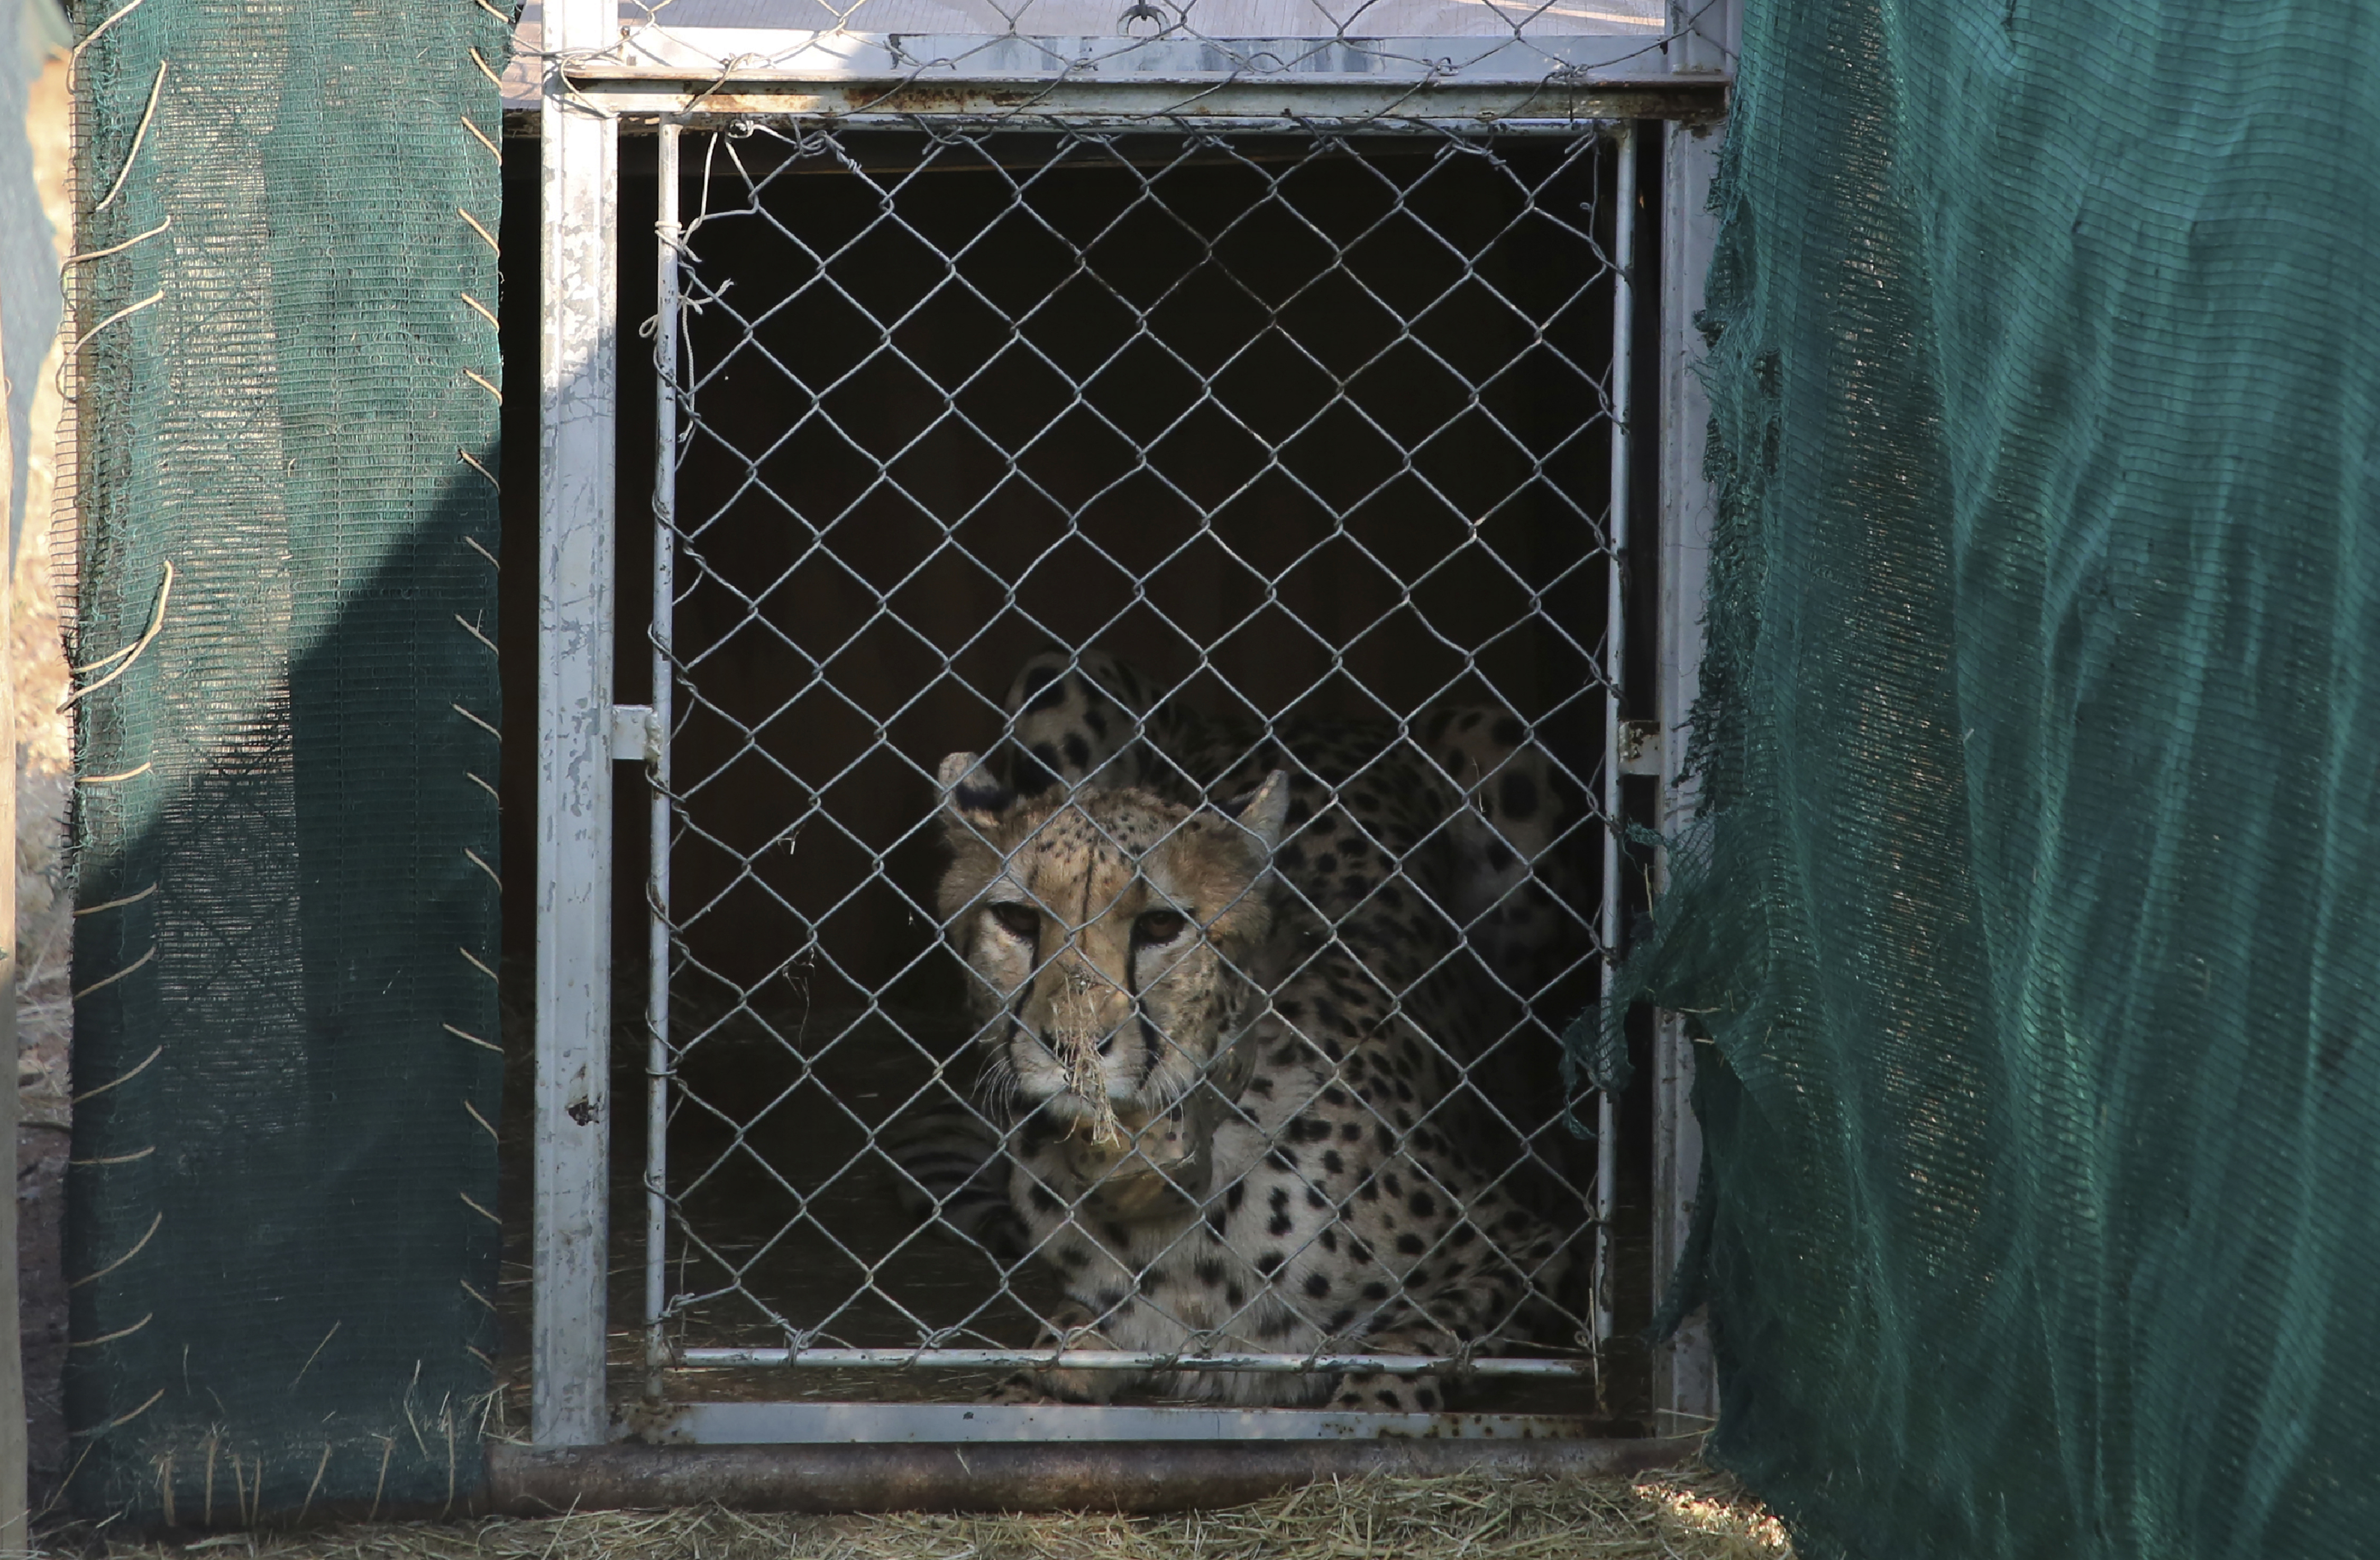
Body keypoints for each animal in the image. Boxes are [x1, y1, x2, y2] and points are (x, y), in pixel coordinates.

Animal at [905, 647, 1592, 1411]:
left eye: (1161, 925)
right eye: (1017, 920)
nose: (1073, 1049)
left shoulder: (1530, 1252)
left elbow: (1404, 1351)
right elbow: (1042, 1367)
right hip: (1058, 676)